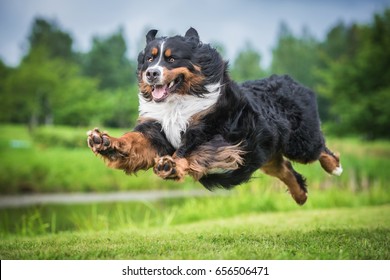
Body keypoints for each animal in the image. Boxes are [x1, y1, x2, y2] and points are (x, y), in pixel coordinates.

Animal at [87, 27, 342, 205]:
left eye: (171, 59)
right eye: (150, 58)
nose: (151, 73)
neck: (178, 102)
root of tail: (293, 81)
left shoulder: (214, 133)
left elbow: (192, 151)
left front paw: (170, 165)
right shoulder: (155, 131)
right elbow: (132, 141)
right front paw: (104, 141)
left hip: (300, 143)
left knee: (320, 149)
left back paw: (334, 167)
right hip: (265, 153)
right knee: (285, 169)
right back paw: (300, 196)